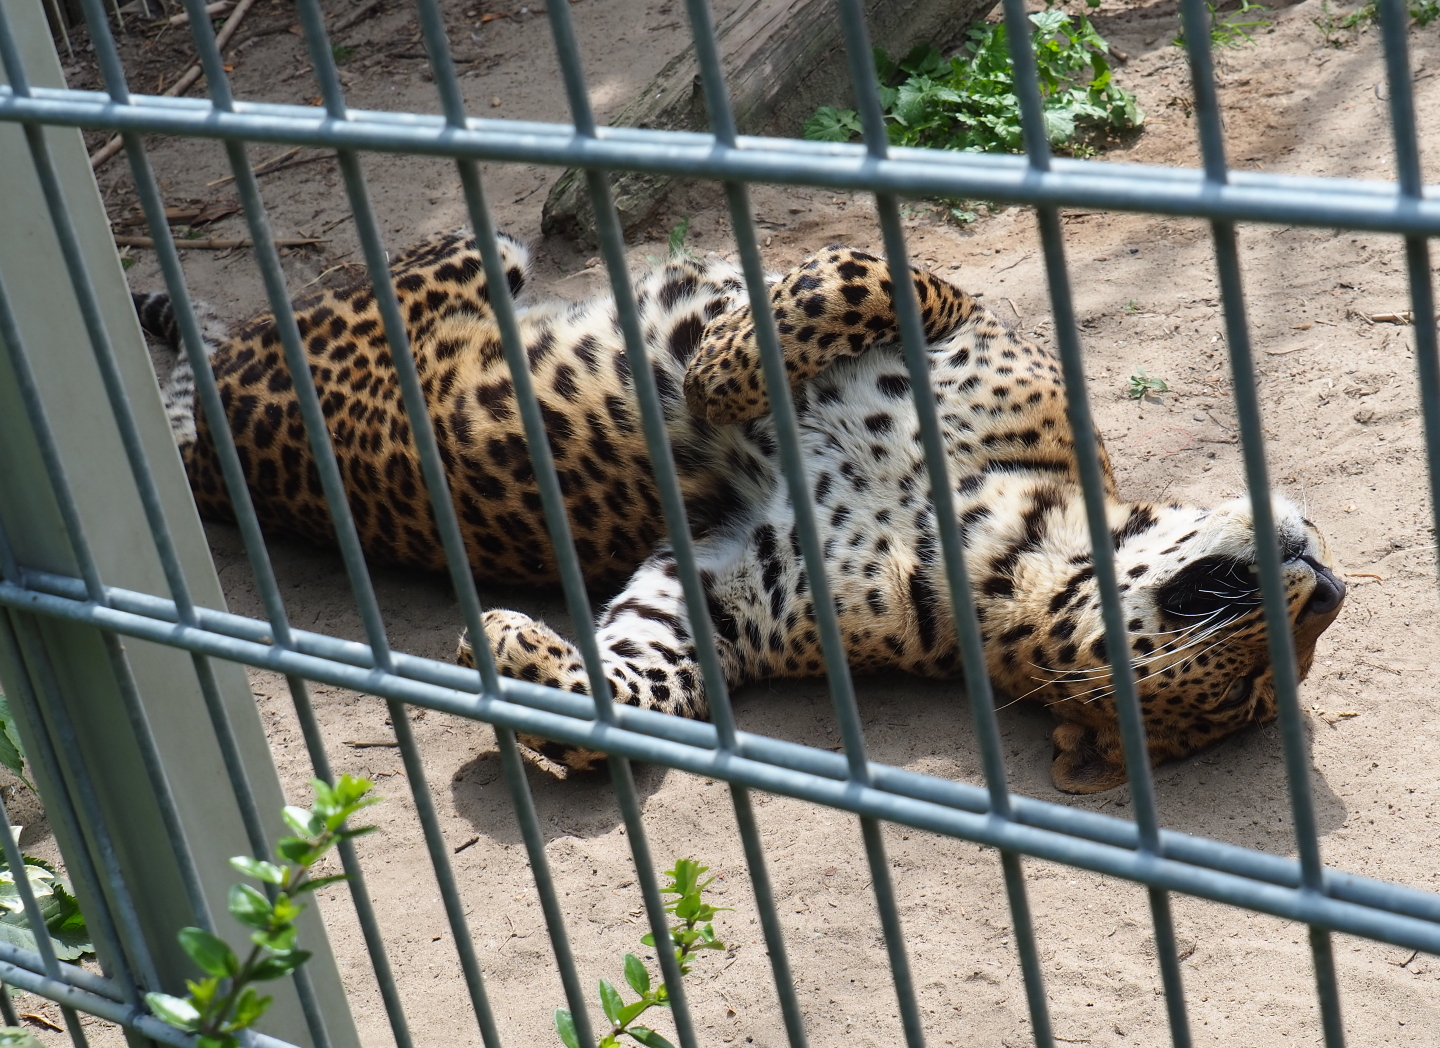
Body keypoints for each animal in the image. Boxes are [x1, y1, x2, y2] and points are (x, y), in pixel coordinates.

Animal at [136, 228, 1346, 793]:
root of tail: (212, 455)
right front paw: (718, 367)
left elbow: (636, 695)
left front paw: (519, 660)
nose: (1331, 587)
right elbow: (865, 275)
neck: (989, 548)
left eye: (1249, 694)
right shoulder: (957, 318)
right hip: (473, 252)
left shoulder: (707, 599)